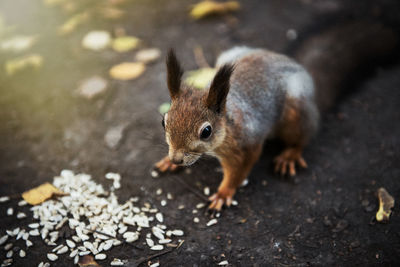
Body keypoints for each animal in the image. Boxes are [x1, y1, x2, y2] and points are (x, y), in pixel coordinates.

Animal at [152, 19, 396, 211]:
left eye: (206, 131)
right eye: (164, 121)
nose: (176, 158)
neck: (229, 124)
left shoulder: (247, 145)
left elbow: (238, 172)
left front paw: (223, 193)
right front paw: (168, 162)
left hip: (295, 113)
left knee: (304, 135)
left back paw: (290, 155)